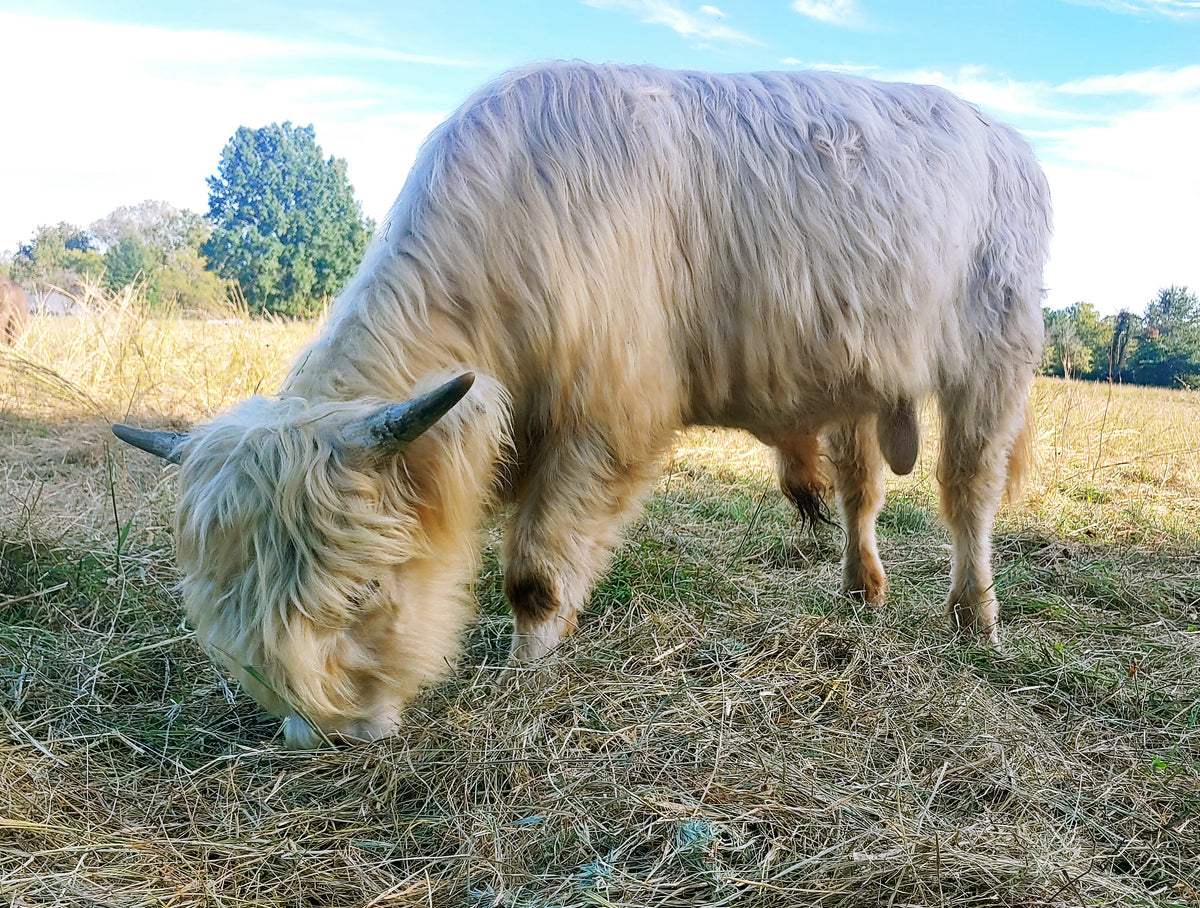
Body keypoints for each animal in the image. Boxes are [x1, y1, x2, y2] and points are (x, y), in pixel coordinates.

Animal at [114, 62, 1050, 748]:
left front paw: (526, 675)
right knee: (862, 491)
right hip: (860, 382)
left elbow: (533, 574)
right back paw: (861, 590)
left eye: (363, 589)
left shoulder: (603, 423)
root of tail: (1003, 135)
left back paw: (976, 619)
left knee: (968, 495)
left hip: (992, 359)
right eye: (224, 613)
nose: (328, 736)